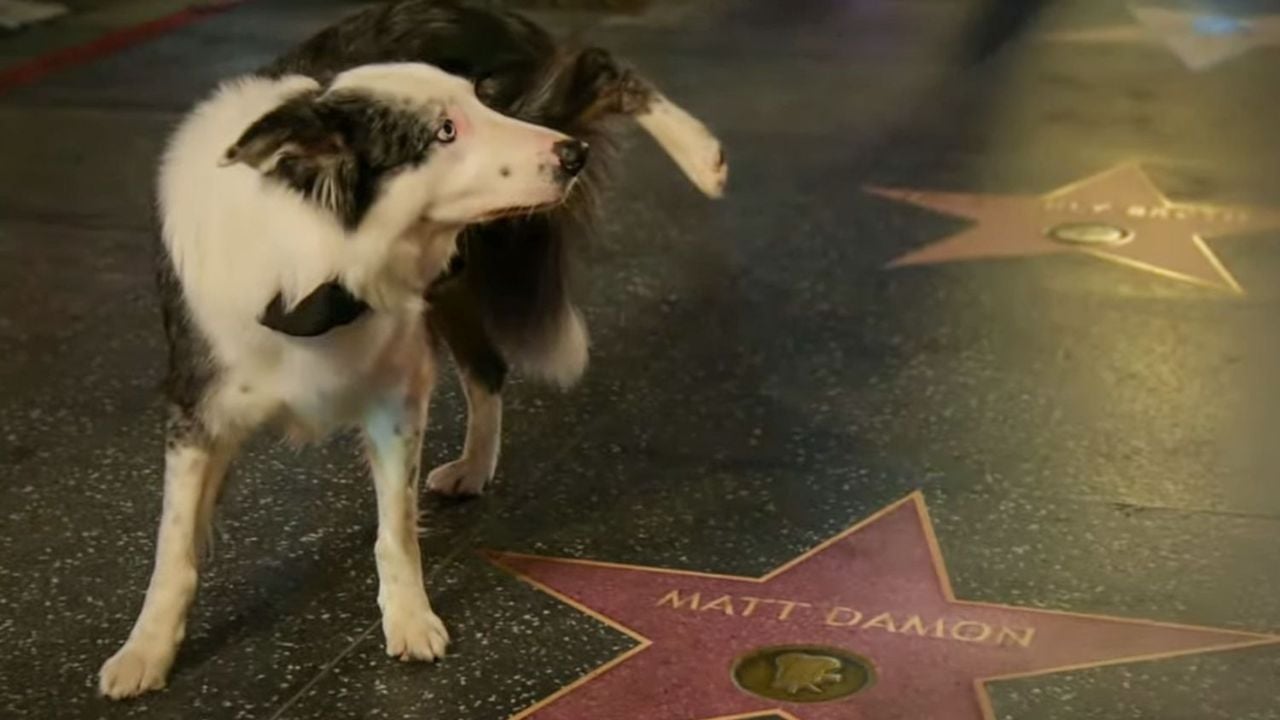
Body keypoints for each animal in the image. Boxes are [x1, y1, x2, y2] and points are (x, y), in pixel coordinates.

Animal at [263, 0, 727, 491]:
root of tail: (486, 13)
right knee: (487, 367)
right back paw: (472, 469)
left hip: (522, 146)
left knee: (596, 70)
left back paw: (703, 158)